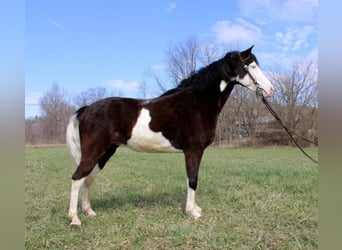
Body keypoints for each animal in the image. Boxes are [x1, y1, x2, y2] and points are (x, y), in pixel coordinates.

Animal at [66, 45, 276, 227]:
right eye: (252, 67)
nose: (271, 90)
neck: (198, 102)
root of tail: (87, 108)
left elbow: (192, 178)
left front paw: (195, 208)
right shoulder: (193, 150)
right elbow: (193, 179)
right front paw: (193, 212)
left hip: (105, 152)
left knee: (87, 178)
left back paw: (89, 212)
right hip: (94, 151)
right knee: (77, 178)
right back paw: (75, 219)